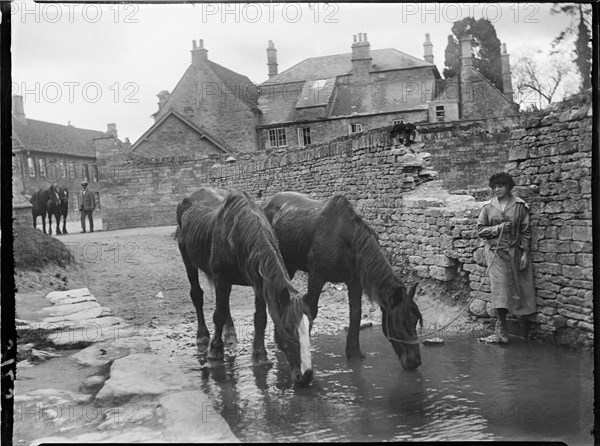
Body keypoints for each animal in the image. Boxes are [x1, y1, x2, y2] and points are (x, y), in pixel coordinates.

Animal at [176, 186, 314, 386]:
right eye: (288, 328)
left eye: (310, 326)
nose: (306, 376)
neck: (238, 235)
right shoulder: (222, 278)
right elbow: (218, 314)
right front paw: (215, 353)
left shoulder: (259, 283)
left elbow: (260, 319)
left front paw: (260, 356)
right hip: (188, 258)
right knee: (197, 296)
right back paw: (202, 337)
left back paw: (230, 333)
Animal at [262, 192, 422, 370]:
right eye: (402, 322)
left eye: (415, 321)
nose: (415, 362)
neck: (347, 240)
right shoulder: (317, 277)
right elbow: (310, 309)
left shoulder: (355, 283)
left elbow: (356, 314)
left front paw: (354, 352)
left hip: (290, 265)